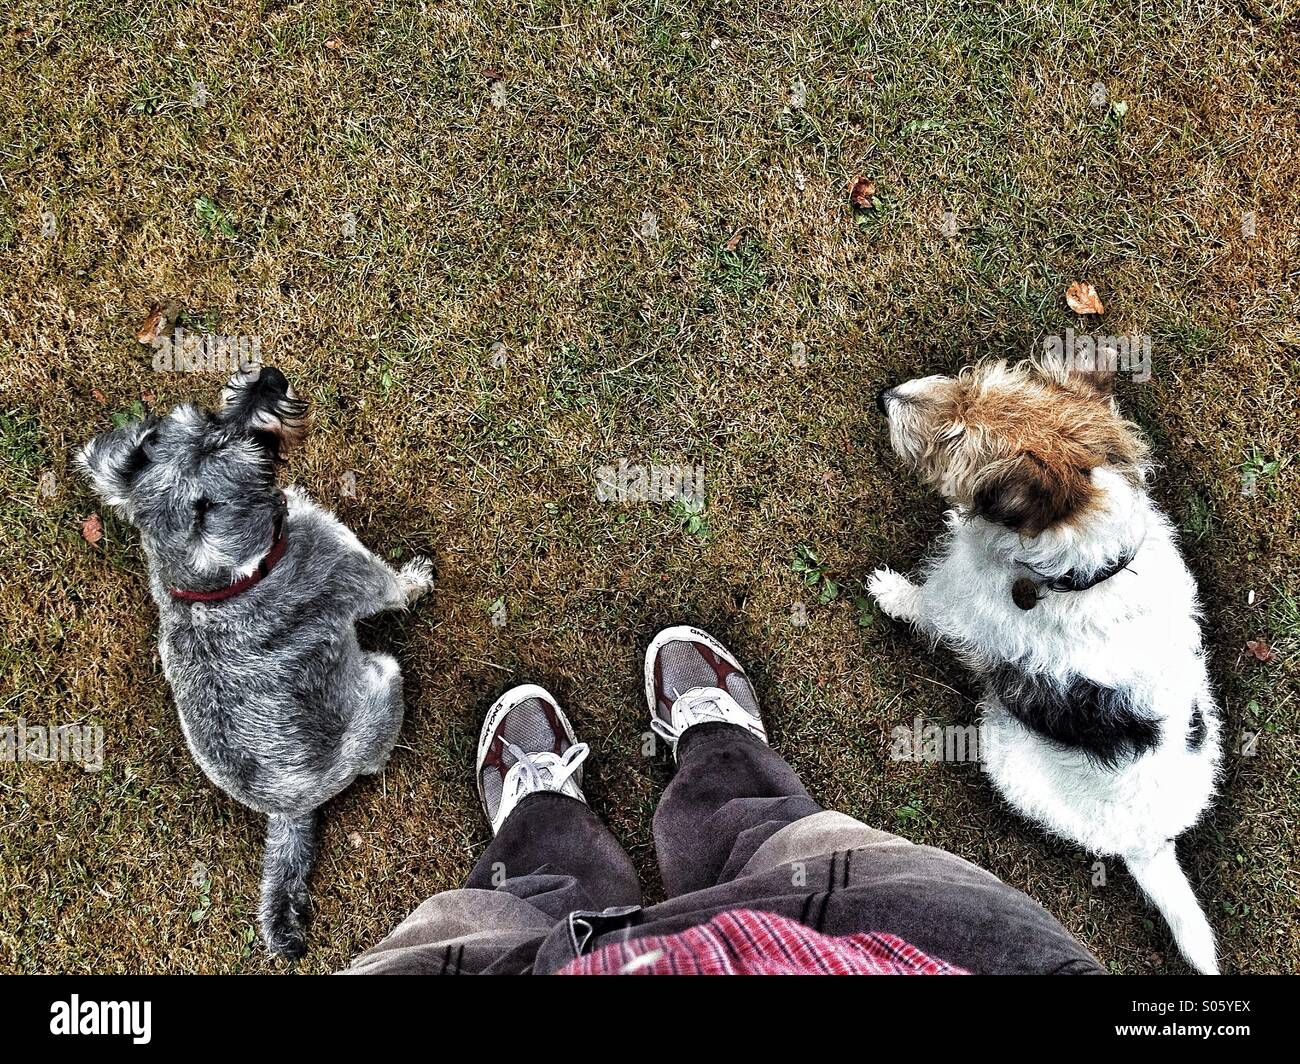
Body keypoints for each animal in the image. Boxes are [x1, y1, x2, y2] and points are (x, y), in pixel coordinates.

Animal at [78, 364, 434, 952]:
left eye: (203, 417)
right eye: (244, 446)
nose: (268, 377)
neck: (214, 585)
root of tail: (288, 812)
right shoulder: (358, 572)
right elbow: (396, 587)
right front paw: (419, 578)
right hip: (385, 679)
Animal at [868, 359, 1222, 967]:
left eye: (957, 441)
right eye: (978, 380)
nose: (887, 397)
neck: (1085, 573)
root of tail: (1151, 843)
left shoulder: (957, 608)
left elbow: (924, 606)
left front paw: (888, 591)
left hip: (1007, 755)